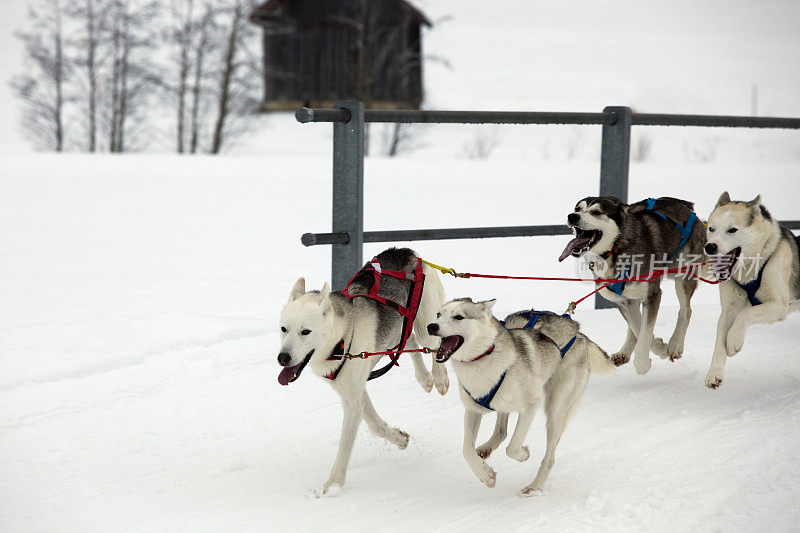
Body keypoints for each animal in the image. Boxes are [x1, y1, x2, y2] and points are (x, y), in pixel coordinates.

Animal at [278, 247, 446, 492]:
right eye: (284, 329)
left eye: (305, 331)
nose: (283, 358)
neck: (342, 337)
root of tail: (405, 252)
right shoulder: (355, 392)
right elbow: (376, 426)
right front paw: (399, 438)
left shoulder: (353, 402)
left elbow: (344, 448)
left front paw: (332, 486)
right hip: (395, 334)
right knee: (410, 340)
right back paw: (424, 378)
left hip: (426, 326)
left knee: (434, 344)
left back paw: (440, 377)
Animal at [428, 298, 616, 492]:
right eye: (438, 314)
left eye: (458, 317)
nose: (431, 326)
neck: (484, 356)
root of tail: (578, 332)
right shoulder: (473, 409)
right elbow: (466, 450)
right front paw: (485, 475)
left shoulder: (531, 405)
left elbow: (512, 447)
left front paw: (523, 454)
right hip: (505, 402)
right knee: (501, 431)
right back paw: (487, 448)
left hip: (555, 410)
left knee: (549, 458)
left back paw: (535, 486)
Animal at [560, 195, 704, 374]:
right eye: (577, 209)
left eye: (597, 212)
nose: (572, 216)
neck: (615, 249)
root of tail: (687, 206)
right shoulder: (622, 300)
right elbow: (638, 326)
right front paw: (657, 346)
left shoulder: (652, 294)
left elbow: (645, 330)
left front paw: (644, 362)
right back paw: (625, 352)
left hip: (683, 276)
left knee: (686, 310)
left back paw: (675, 345)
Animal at [704, 191, 796, 386]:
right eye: (712, 229)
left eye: (732, 230)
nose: (710, 246)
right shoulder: (729, 310)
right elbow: (719, 339)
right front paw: (714, 372)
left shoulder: (779, 306)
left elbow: (746, 314)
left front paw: (733, 340)